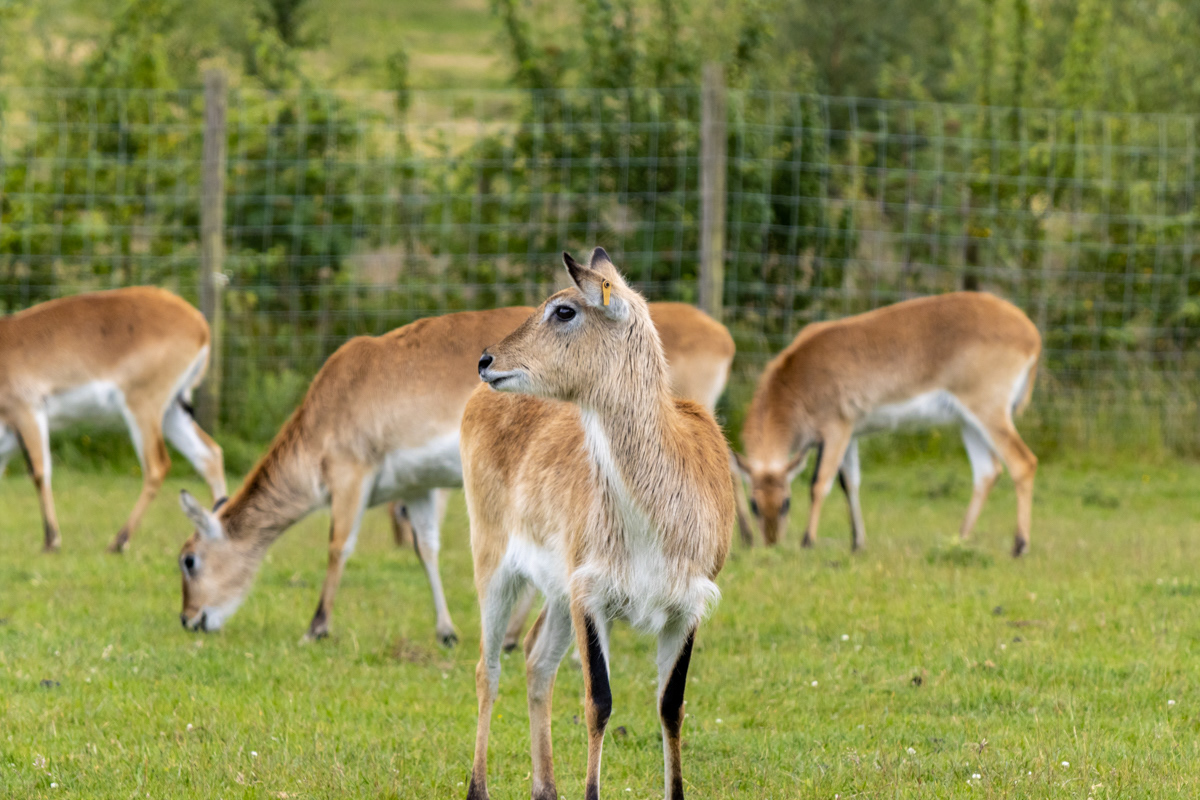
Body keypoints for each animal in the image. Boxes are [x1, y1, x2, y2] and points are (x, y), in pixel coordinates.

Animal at [0, 287, 227, 553]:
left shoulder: (27, 411)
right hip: (173, 412)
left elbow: (39, 472)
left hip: (143, 407)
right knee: (209, 456)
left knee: (157, 466)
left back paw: (118, 542)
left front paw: (51, 541)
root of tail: (199, 323)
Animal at [175, 302, 737, 647]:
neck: (328, 410)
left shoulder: (353, 472)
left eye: (188, 560)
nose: (190, 620)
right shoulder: (420, 487)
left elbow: (339, 545)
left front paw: (317, 626)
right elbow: (426, 548)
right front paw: (446, 630)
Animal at [461, 248, 735, 800]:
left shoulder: (687, 606)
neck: (654, 520)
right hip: (495, 567)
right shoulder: (593, 596)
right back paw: (478, 788)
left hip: (555, 594)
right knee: (488, 668)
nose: (487, 360)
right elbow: (599, 702)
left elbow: (670, 705)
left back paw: (545, 788)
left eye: (564, 309)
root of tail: (474, 401)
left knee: (536, 660)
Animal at [733, 291, 1041, 555]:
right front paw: (857, 543)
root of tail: (1030, 333)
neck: (798, 378)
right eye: (754, 504)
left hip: (988, 412)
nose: (771, 542)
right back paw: (960, 538)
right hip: (967, 422)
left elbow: (819, 483)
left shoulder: (836, 429)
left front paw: (807, 541)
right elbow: (850, 482)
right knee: (987, 472)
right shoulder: (850, 434)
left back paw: (1020, 546)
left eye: (786, 503)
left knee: (1023, 462)